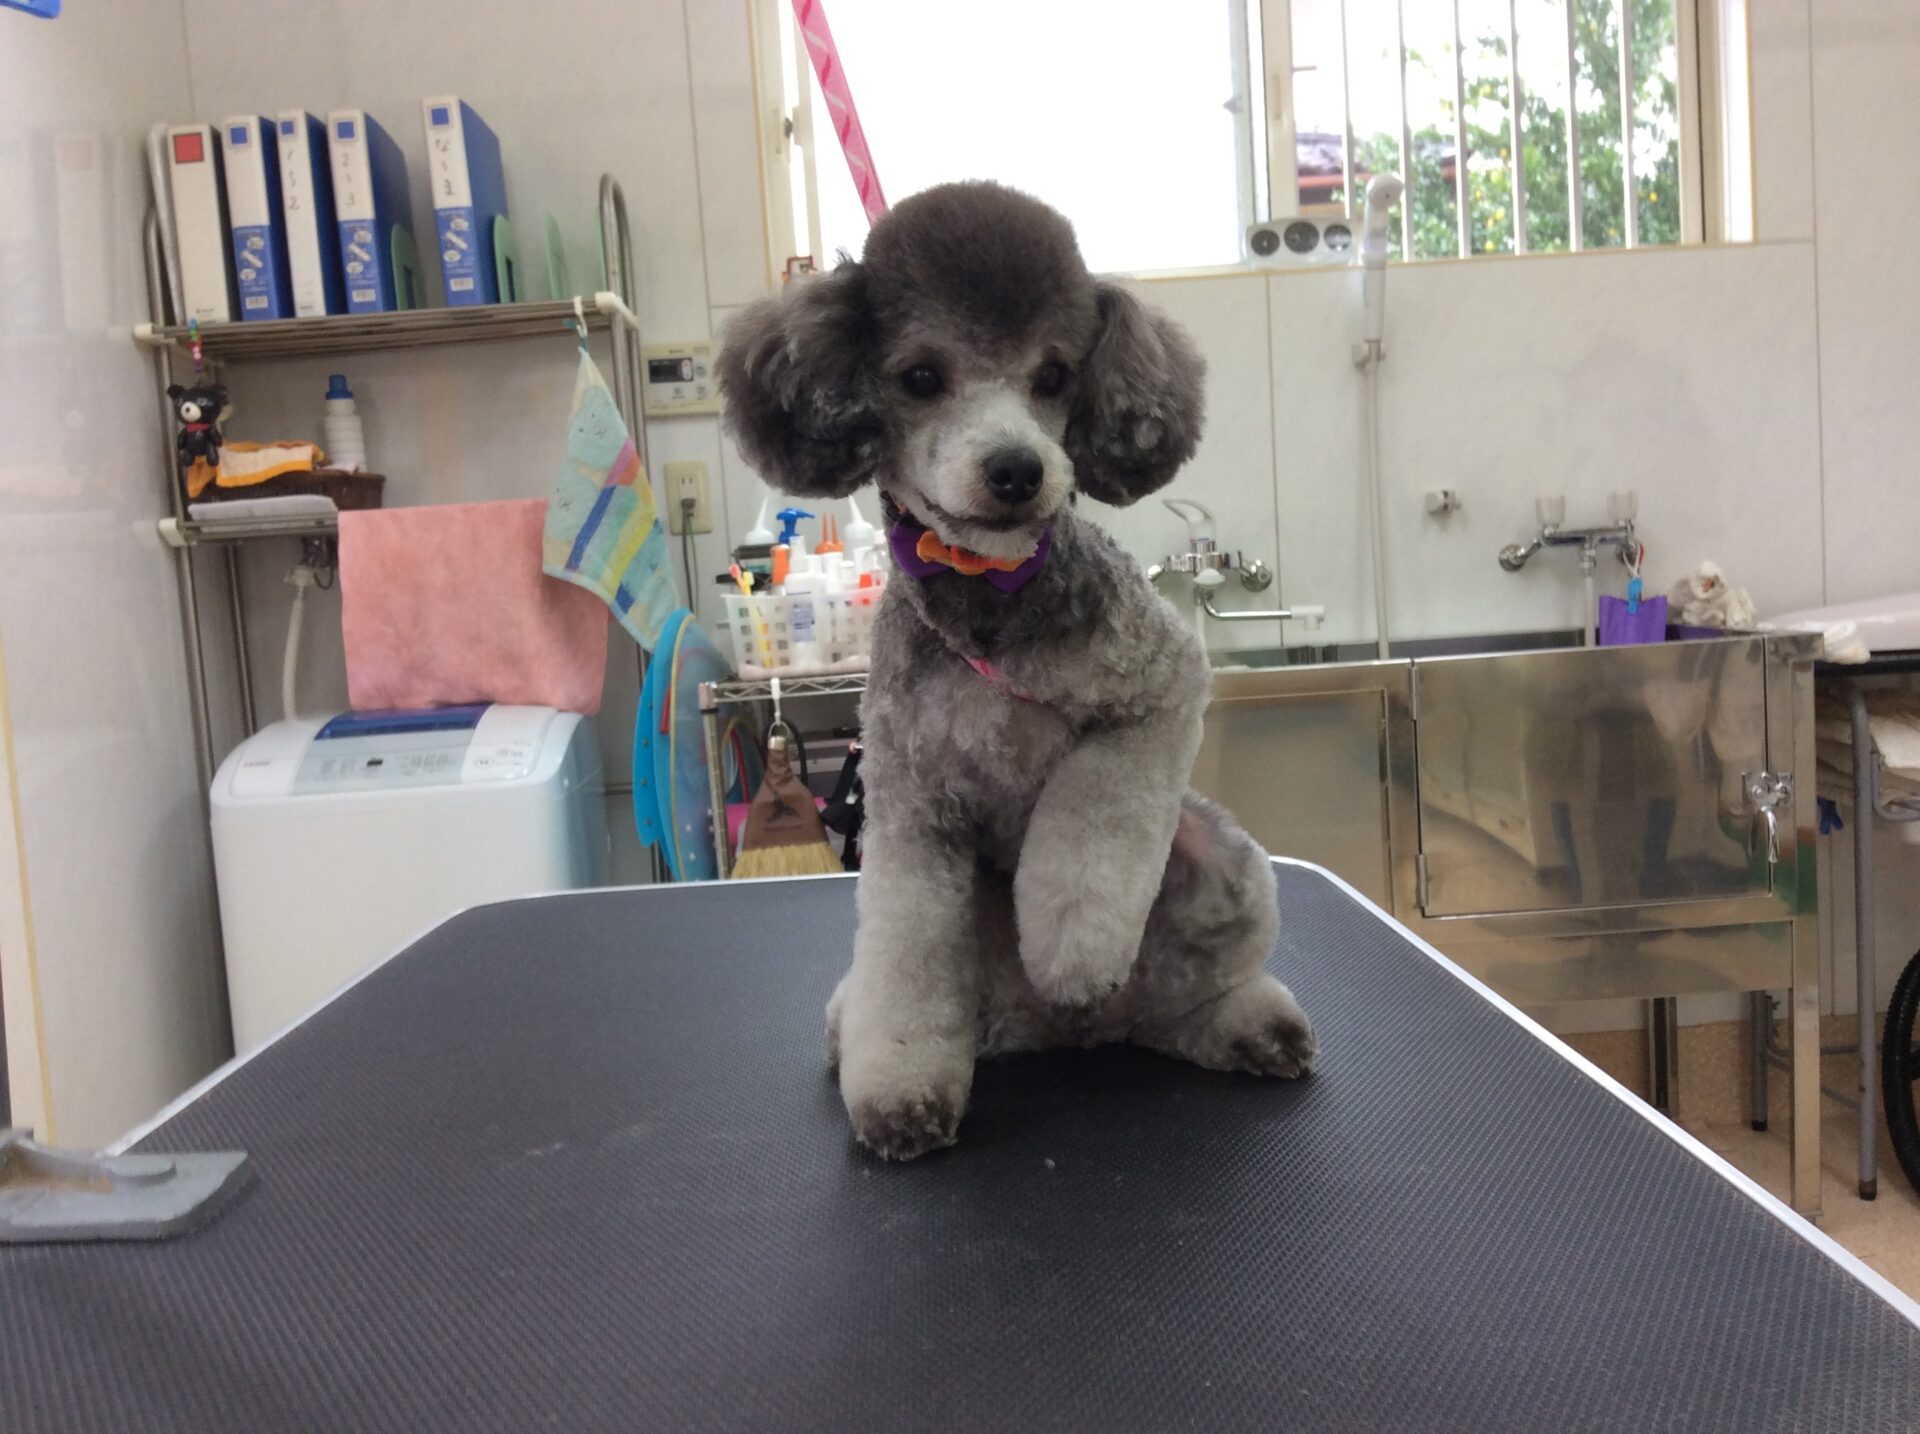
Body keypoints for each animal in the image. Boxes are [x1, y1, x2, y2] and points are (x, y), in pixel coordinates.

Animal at [718, 181, 1315, 1159]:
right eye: (922, 377)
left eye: (1056, 375)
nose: (1016, 469)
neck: (989, 596)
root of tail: (1074, 1035)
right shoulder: (912, 809)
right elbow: (907, 952)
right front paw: (902, 1089)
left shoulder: (1161, 687)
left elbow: (1091, 819)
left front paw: (1073, 953)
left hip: (1215, 858)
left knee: (1185, 991)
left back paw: (1240, 1021)